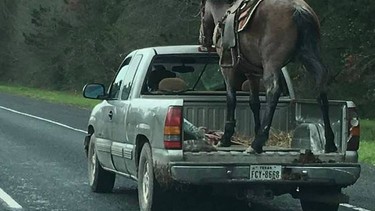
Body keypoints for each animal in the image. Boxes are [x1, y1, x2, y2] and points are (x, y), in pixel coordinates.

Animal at [201, 0, 340, 153]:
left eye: (202, 10)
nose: (203, 39)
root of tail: (298, 8)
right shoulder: (252, 73)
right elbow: (254, 102)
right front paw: (256, 130)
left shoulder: (228, 68)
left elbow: (231, 99)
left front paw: (226, 138)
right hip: (309, 55)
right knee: (321, 84)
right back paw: (330, 143)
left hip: (271, 63)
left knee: (273, 91)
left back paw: (257, 143)